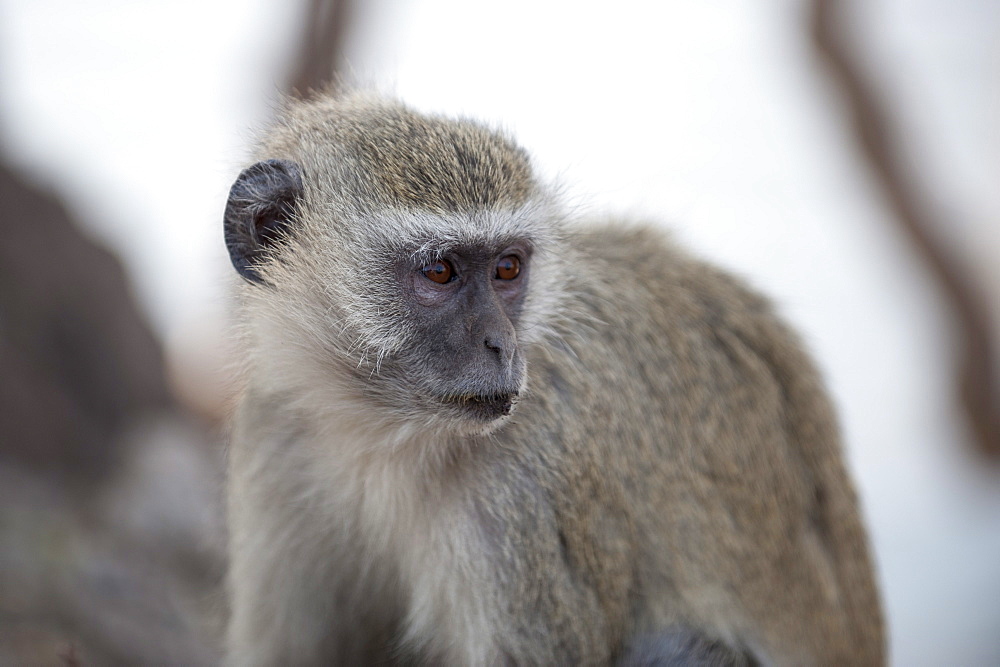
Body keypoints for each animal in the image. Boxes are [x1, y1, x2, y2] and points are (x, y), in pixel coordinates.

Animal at [225, 95, 884, 667]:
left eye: (507, 268)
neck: (380, 435)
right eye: (440, 271)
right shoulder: (279, 436)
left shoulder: (527, 488)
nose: (501, 345)